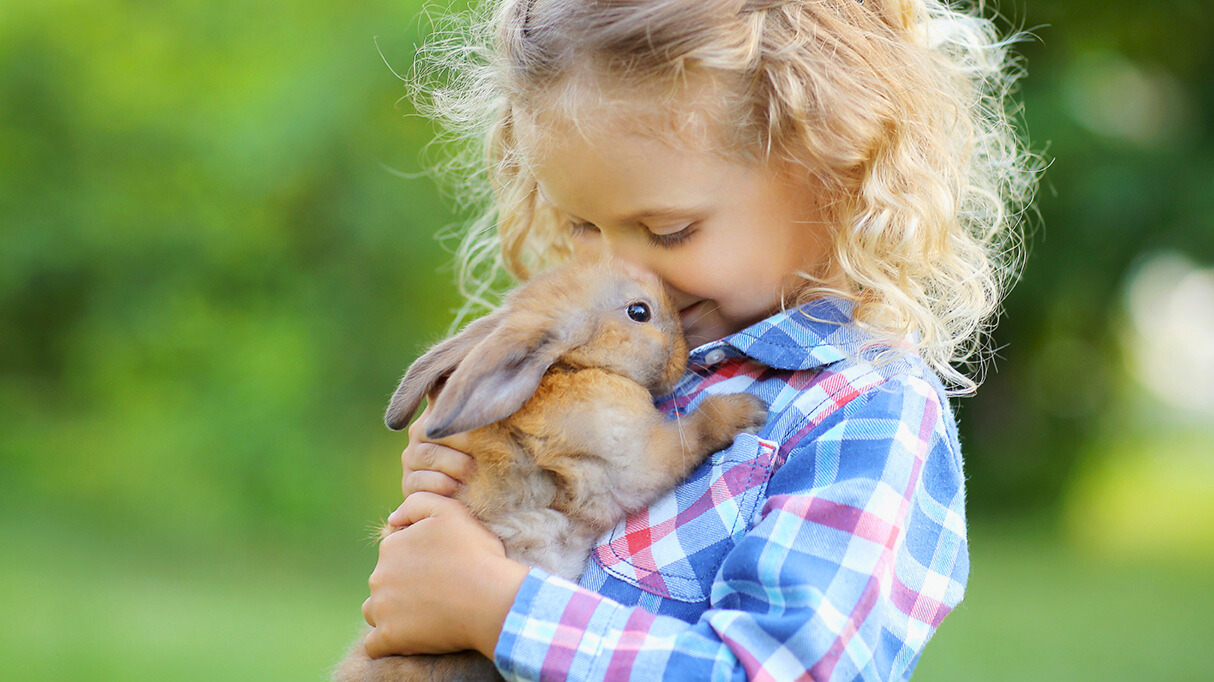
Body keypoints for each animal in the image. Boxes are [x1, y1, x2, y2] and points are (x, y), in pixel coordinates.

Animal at [337, 257, 762, 674]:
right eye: (639, 312)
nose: (684, 350)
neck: (576, 365)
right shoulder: (635, 458)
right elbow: (693, 430)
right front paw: (744, 410)